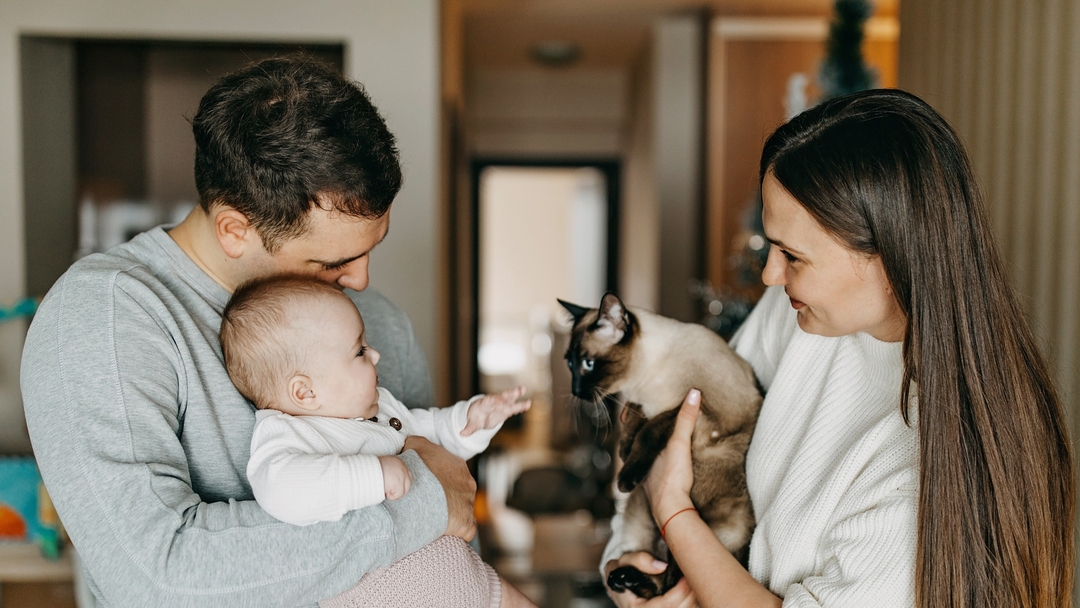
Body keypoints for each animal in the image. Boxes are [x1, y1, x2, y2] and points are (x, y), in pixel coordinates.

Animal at [561, 293, 764, 600]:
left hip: (713, 535)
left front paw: (626, 476)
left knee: (671, 580)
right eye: (570, 365)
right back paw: (624, 579)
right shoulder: (646, 403)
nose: (575, 390)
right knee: (659, 583)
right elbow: (636, 417)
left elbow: (652, 428)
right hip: (640, 525)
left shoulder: (701, 412)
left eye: (588, 364)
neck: (647, 379)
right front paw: (624, 450)